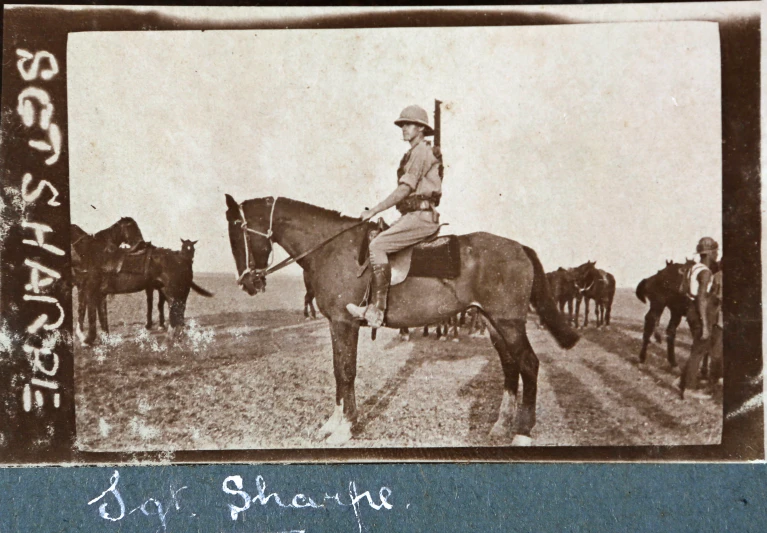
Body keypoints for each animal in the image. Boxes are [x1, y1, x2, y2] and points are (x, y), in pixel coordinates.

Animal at [225, 195, 580, 444]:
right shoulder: (335, 325)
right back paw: (500, 426)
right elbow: (338, 371)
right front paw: (332, 423)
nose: (248, 283)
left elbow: (347, 372)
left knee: (528, 364)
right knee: (510, 365)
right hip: (494, 322)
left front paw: (345, 429)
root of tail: (519, 247)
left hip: (509, 322)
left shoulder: (344, 323)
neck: (333, 248)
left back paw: (522, 432)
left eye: (239, 232)